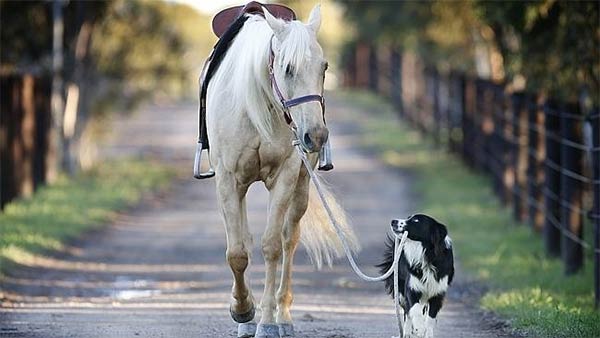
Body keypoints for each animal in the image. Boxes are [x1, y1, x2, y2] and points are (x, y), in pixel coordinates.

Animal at [205, 3, 356, 336]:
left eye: (325, 67)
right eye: (287, 68)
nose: (316, 136)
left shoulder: (285, 176)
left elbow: (272, 246)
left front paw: (266, 322)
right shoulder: (228, 181)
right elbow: (237, 252)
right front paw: (243, 311)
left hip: (301, 186)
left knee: (290, 239)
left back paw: (282, 316)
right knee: (245, 241)